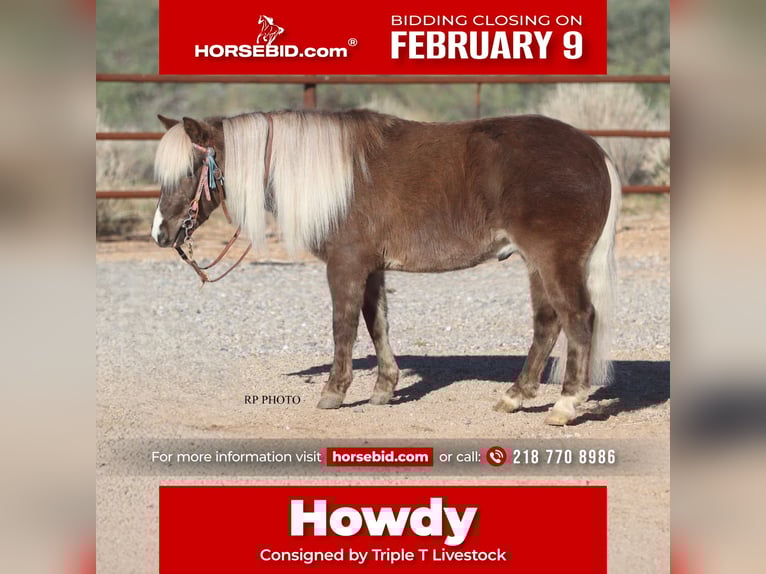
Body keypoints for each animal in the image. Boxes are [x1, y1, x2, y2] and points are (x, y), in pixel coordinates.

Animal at [151, 109, 621, 425]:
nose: (161, 232)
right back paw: (515, 396)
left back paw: (565, 404)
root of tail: (596, 152)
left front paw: (334, 392)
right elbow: (376, 323)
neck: (335, 178)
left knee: (578, 318)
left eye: (192, 168)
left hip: (554, 260)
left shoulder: (345, 264)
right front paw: (383, 388)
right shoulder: (371, 267)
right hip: (535, 264)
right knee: (548, 323)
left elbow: (344, 326)